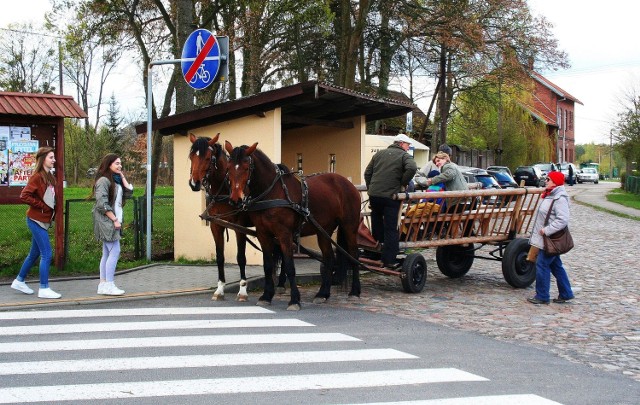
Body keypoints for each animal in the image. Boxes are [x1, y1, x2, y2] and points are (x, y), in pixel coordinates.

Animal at [225, 140, 360, 310]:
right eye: (228, 168)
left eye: (246, 168)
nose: (235, 200)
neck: (272, 192)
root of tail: (347, 182)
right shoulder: (263, 234)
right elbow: (268, 265)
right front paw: (266, 296)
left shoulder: (284, 234)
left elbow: (289, 266)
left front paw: (294, 300)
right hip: (324, 231)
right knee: (329, 258)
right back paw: (322, 294)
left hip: (350, 227)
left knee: (354, 256)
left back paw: (354, 292)